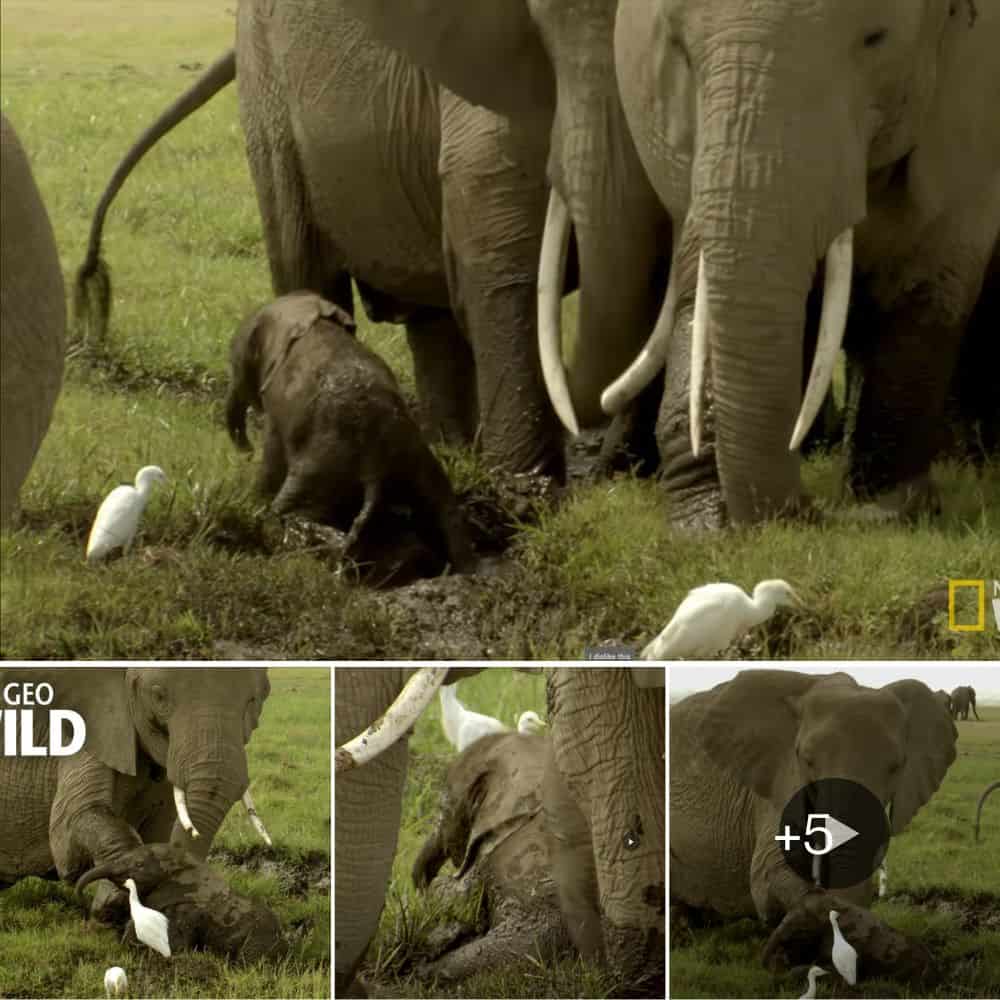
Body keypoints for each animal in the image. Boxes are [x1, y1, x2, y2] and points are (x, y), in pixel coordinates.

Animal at [224, 291, 476, 577]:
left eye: (238, 359)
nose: (246, 452)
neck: (311, 318)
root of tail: (374, 465)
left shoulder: (278, 406)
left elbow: (272, 460)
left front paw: (251, 499)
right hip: (418, 464)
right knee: (446, 512)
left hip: (321, 470)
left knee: (289, 515)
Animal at [606, 0, 1000, 524]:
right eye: (678, 48)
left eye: (877, 40)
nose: (812, 511)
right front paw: (703, 521)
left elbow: (930, 279)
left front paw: (894, 506)